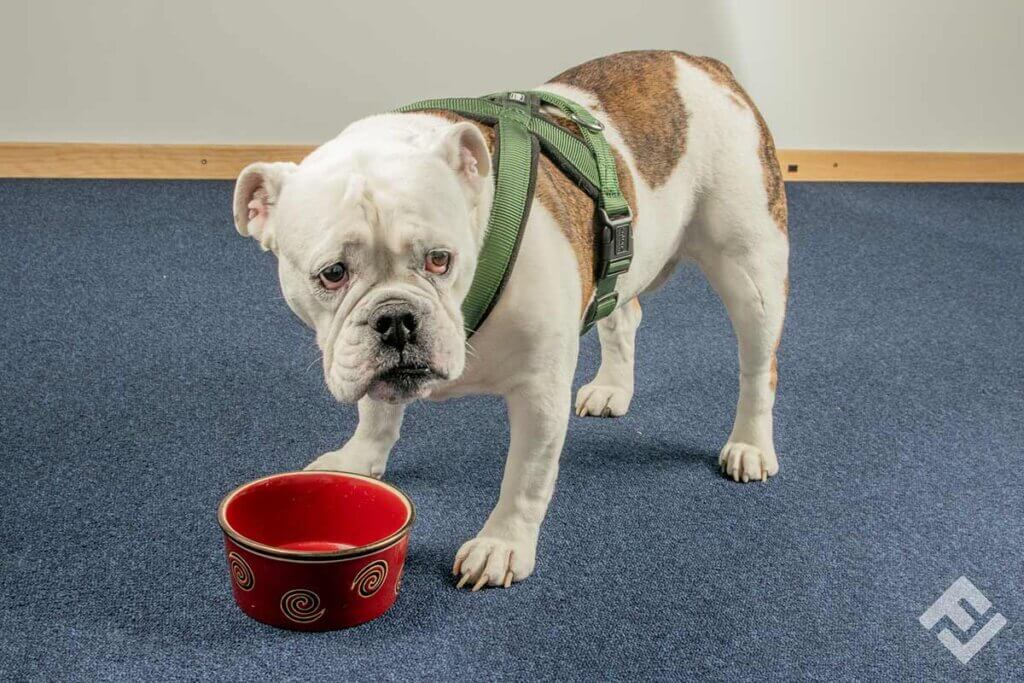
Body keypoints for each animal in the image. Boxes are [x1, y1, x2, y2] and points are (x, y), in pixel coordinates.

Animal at [234, 50, 790, 589]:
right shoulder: (370, 365)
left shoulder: (539, 392)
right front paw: (357, 460)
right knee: (623, 315)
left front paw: (501, 546)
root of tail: (703, 65)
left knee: (758, 366)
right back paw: (613, 387)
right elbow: (376, 413)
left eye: (441, 259)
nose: (396, 319)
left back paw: (749, 444)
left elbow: (525, 477)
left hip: (750, 270)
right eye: (332, 274)